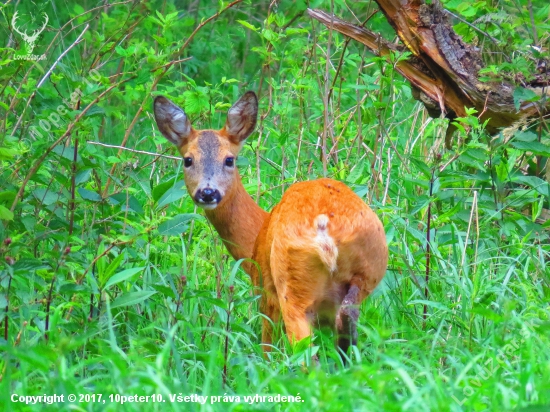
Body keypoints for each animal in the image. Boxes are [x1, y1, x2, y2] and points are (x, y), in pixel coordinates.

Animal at [153, 90, 390, 358]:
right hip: (368, 270)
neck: (259, 231)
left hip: (290, 283)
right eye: (188, 160)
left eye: (229, 159)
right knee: (347, 322)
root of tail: (325, 231)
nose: (208, 192)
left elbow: (267, 347)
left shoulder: (264, 289)